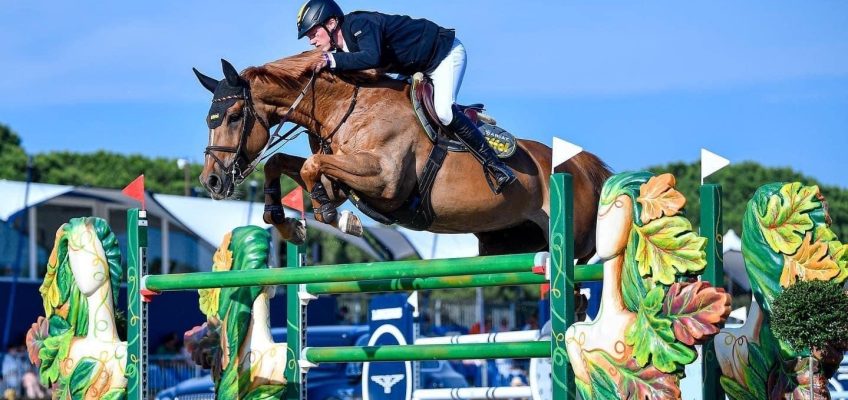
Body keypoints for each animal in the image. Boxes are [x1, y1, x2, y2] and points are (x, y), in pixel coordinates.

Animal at [192, 50, 608, 256]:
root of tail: (583, 168)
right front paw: (286, 224)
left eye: (234, 116)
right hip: (504, 241)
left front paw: (337, 219)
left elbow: (311, 166)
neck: (344, 108)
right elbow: (284, 163)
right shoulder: (341, 179)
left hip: (576, 247)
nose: (211, 180)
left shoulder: (385, 180)